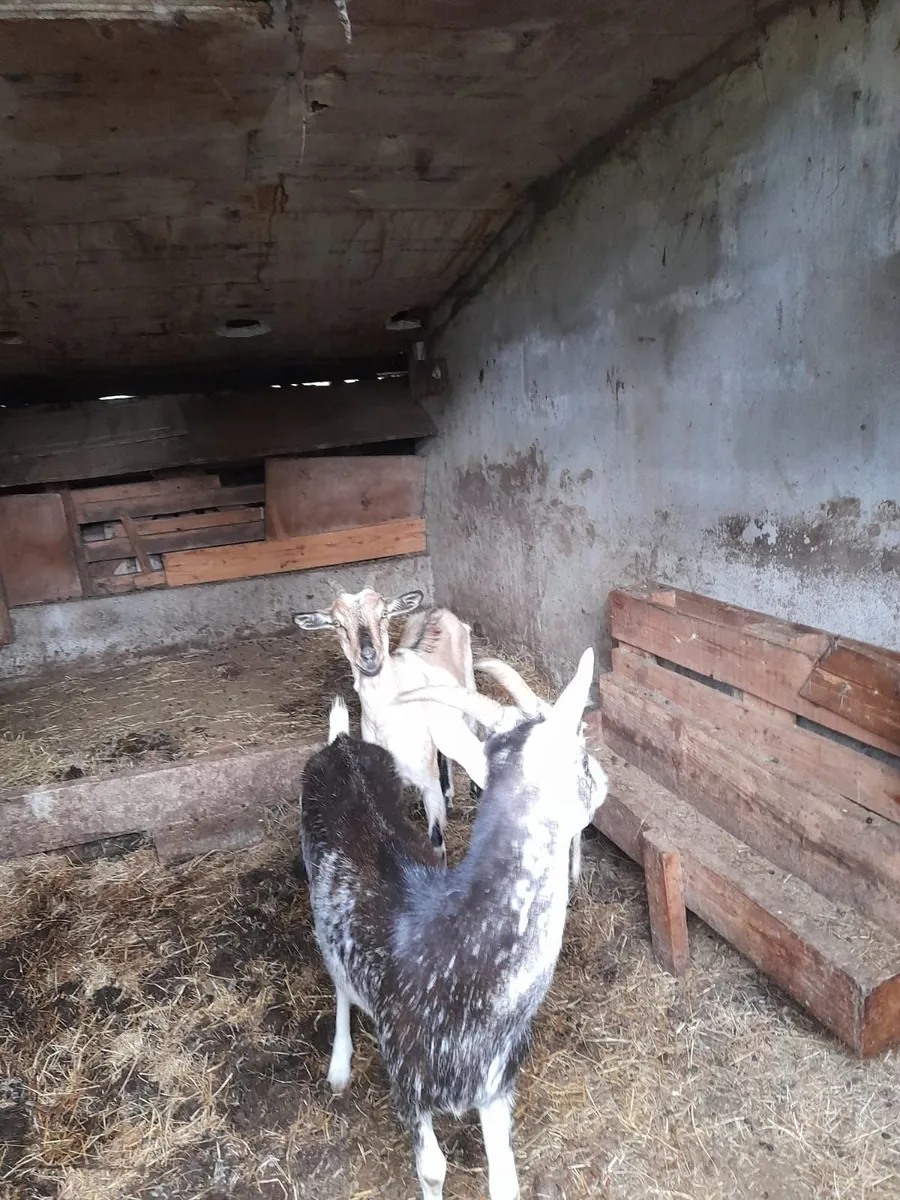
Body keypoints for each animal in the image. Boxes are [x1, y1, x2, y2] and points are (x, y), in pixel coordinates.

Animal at [293, 588, 486, 858]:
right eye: (337, 624)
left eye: (383, 614)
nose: (369, 656)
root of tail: (435, 609)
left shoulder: (427, 783)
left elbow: (436, 841)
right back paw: (449, 793)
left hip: (468, 689)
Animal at [299, 649, 607, 1200]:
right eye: (582, 755)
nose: (607, 782)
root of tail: (338, 744)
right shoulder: (406, 1080)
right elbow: (432, 1169)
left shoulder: (496, 1085)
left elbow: (505, 1179)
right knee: (338, 980)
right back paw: (339, 1065)